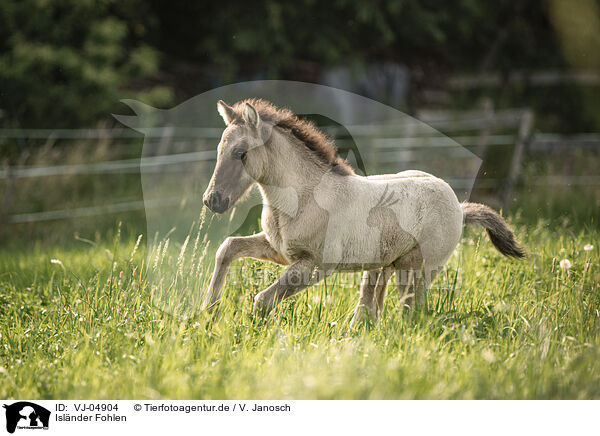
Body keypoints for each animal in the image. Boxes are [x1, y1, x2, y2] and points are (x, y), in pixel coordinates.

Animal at [204, 99, 524, 324]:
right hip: (384, 266)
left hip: (419, 270)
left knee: (412, 313)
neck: (305, 197)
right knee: (370, 310)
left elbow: (263, 300)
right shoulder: (280, 251)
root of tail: (459, 207)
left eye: (241, 153)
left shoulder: (316, 265)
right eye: (219, 151)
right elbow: (227, 248)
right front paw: (209, 313)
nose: (212, 200)